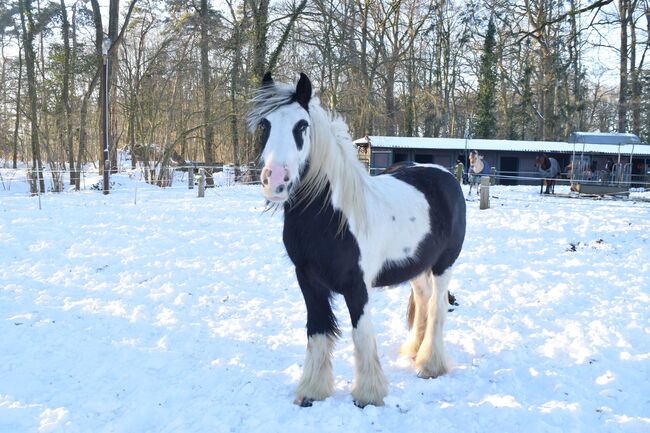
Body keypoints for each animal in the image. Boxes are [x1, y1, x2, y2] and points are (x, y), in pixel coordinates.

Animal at [246, 72, 464, 406]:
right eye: (264, 125)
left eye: (301, 126)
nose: (276, 181)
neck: (331, 218)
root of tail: (444, 173)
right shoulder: (308, 281)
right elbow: (317, 330)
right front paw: (312, 391)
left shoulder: (356, 285)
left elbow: (361, 334)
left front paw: (368, 395)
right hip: (415, 267)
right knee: (424, 300)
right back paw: (412, 352)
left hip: (444, 265)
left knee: (437, 307)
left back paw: (430, 365)